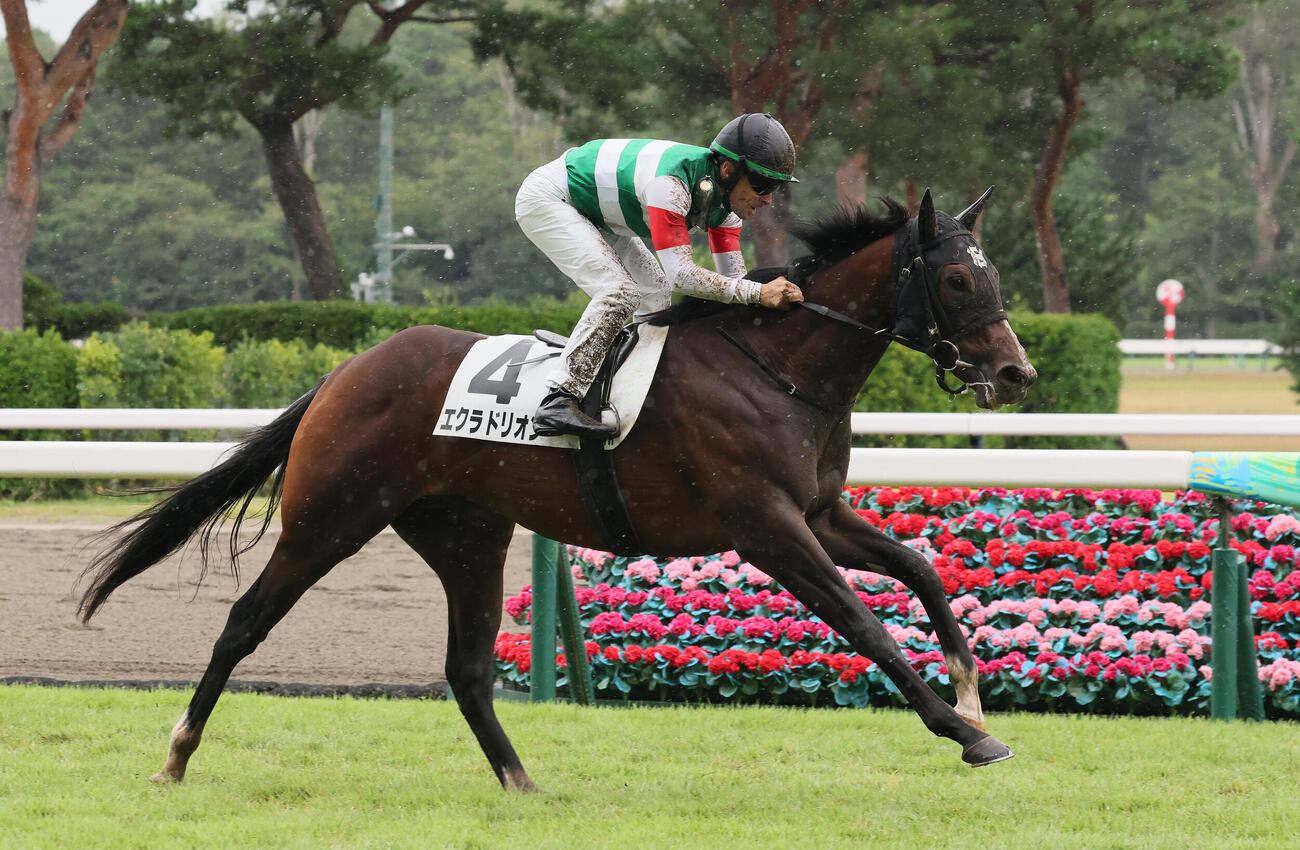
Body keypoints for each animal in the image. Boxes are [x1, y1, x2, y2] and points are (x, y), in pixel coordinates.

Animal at [79, 188, 1036, 791]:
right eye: (958, 278)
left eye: (994, 275)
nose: (1016, 372)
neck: (778, 370)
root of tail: (346, 371)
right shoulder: (765, 527)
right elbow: (863, 621)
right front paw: (966, 732)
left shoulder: (818, 513)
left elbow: (922, 572)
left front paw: (970, 687)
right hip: (330, 518)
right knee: (244, 622)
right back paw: (175, 755)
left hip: (467, 534)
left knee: (466, 668)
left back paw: (520, 781)